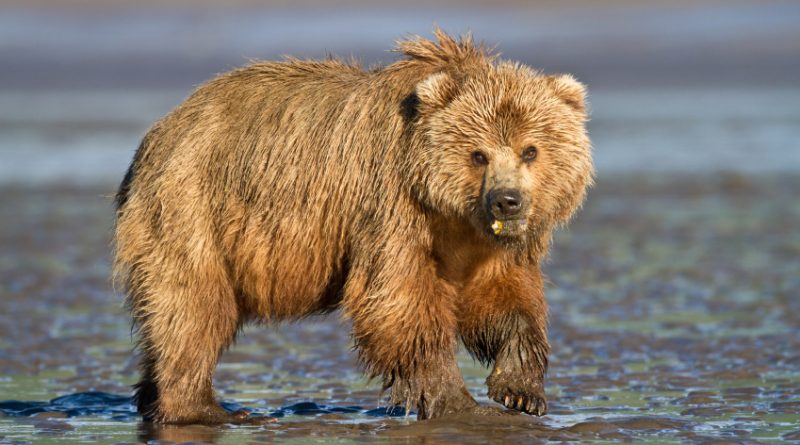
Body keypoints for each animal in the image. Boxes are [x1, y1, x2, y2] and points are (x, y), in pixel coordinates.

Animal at [115, 29, 592, 424]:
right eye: (478, 154)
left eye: (531, 150)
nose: (506, 200)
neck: (447, 211)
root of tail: (159, 131)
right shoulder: (391, 206)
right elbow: (399, 300)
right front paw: (461, 403)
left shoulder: (482, 243)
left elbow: (501, 297)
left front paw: (520, 390)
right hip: (193, 207)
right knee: (192, 307)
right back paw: (206, 408)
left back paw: (151, 397)